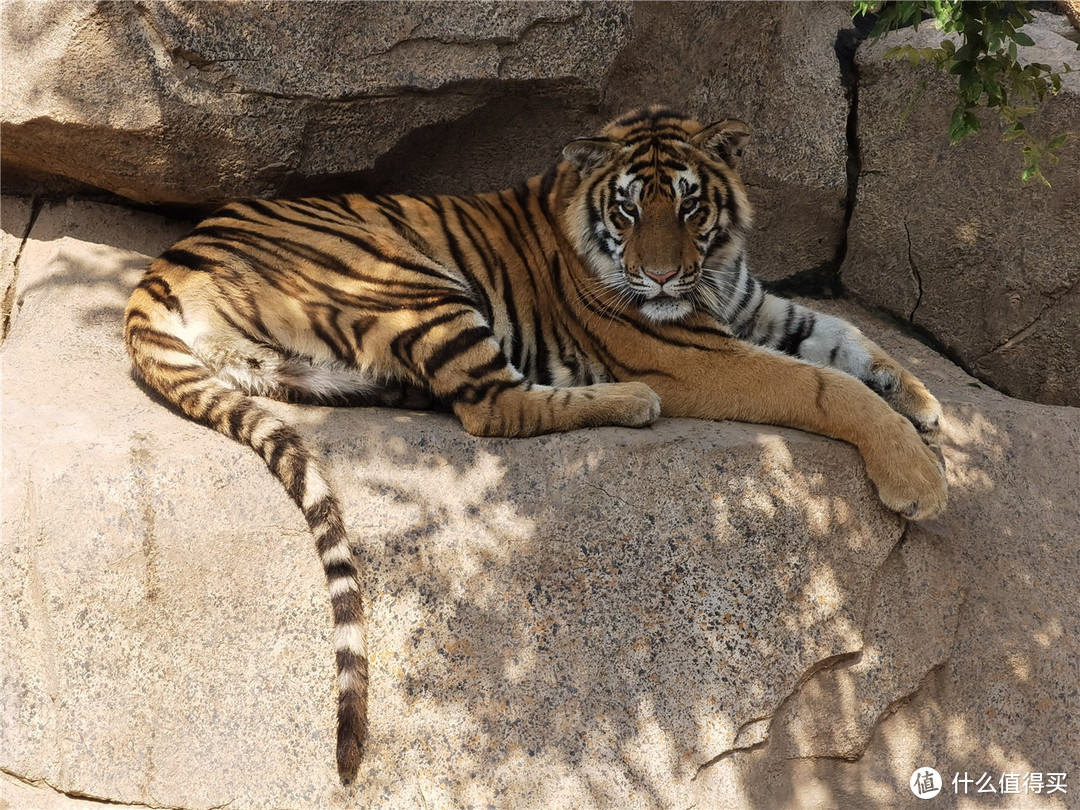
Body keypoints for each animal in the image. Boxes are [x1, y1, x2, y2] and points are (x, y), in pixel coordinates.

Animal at [120, 104, 946, 781]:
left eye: (689, 202)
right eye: (628, 208)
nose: (661, 276)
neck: (714, 272)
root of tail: (165, 263)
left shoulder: (753, 307)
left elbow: (849, 338)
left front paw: (929, 408)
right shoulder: (693, 354)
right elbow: (825, 386)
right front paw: (920, 478)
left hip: (314, 358)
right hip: (408, 279)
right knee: (491, 407)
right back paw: (630, 402)